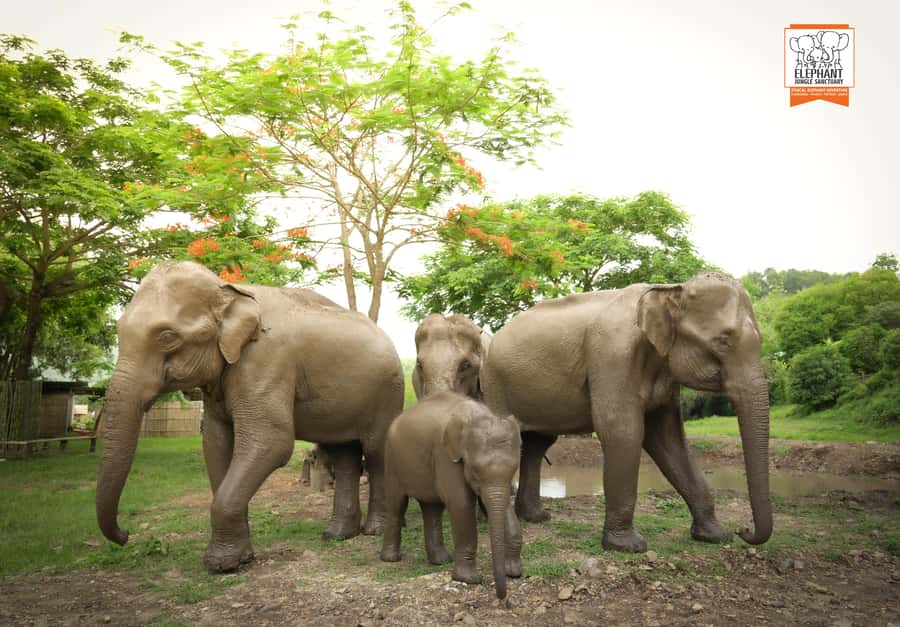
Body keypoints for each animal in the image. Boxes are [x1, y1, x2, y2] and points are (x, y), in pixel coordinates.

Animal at [96, 261, 404, 572]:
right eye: (119, 331)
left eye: (167, 337)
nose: (126, 534)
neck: (230, 291)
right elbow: (216, 444)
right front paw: (241, 558)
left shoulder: (266, 361)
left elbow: (272, 441)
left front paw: (221, 564)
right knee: (344, 453)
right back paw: (337, 534)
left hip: (388, 391)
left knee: (376, 453)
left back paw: (374, 530)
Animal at [379, 391, 522, 599]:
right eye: (475, 470)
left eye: (514, 469)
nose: (502, 597)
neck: (477, 415)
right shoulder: (446, 455)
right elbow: (461, 504)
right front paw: (468, 579)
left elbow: (503, 505)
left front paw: (514, 572)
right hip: (391, 460)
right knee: (396, 505)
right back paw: (391, 559)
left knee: (432, 508)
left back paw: (440, 561)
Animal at [481, 272, 772, 553]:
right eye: (724, 341)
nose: (744, 529)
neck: (670, 290)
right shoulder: (613, 354)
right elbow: (622, 431)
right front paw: (627, 546)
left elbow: (668, 438)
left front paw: (715, 535)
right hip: (494, 386)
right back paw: (492, 520)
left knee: (537, 443)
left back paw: (536, 517)